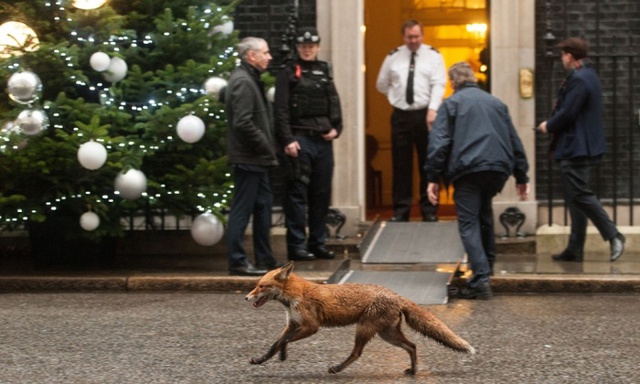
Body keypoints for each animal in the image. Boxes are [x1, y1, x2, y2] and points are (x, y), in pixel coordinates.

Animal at [245, 260, 476, 376]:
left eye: (261, 286)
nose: (246, 297)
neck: (296, 296)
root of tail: (396, 294)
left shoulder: (311, 327)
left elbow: (283, 342)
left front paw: (283, 355)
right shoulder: (292, 324)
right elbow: (274, 344)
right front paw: (261, 359)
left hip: (364, 329)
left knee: (357, 353)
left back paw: (337, 368)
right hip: (387, 334)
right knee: (413, 346)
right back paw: (413, 370)